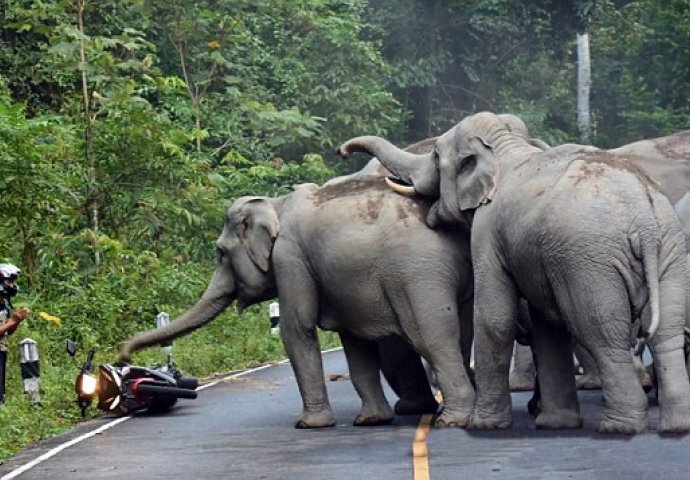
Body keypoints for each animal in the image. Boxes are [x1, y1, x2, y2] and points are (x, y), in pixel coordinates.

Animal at [119, 178, 472, 430]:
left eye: (220, 253)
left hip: (417, 273)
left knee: (431, 337)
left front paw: (307, 424)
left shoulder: (289, 258)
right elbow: (355, 344)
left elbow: (296, 329)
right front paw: (370, 420)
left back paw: (453, 420)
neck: (276, 204)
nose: (123, 356)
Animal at [338, 110, 688, 434]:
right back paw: (676, 426)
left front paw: (484, 425)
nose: (342, 151)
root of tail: (641, 212)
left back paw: (620, 427)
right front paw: (554, 424)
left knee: (601, 333)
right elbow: (546, 326)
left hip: (591, 261)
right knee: (666, 333)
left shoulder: (487, 232)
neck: (504, 149)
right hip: (669, 248)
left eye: (436, 157)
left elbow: (494, 317)